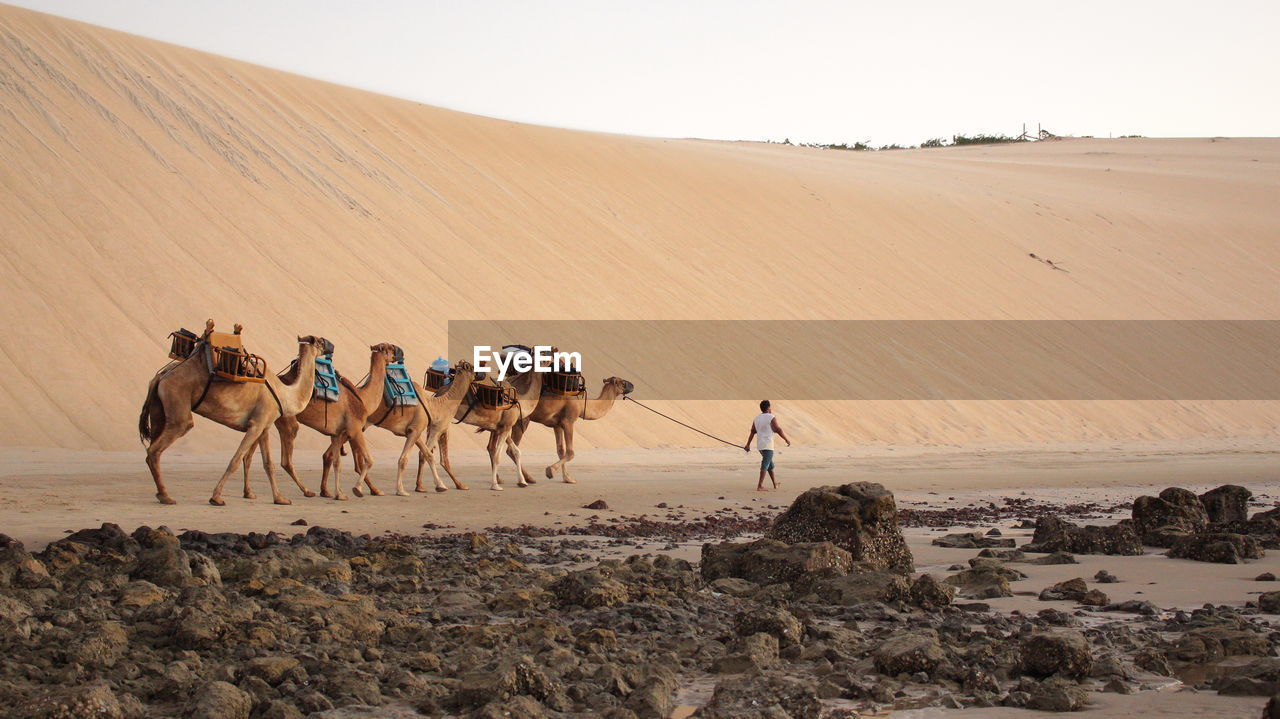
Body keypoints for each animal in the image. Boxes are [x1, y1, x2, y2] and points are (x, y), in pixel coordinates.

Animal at [139, 318, 327, 504]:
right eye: (320, 341)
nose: (329, 347)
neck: (284, 394)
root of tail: (161, 376)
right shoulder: (256, 424)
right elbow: (235, 460)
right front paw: (216, 497)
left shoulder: (264, 426)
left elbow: (268, 464)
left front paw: (280, 498)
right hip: (178, 404)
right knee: (160, 446)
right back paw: (166, 496)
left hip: (158, 410)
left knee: (153, 446)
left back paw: (162, 493)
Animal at [262, 340, 396, 498]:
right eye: (389, 347)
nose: (398, 353)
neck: (363, 398)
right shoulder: (354, 429)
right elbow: (367, 460)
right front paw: (361, 489)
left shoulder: (338, 433)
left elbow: (332, 459)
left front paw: (330, 492)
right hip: (288, 421)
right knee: (286, 460)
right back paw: (306, 491)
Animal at [363, 350, 478, 491]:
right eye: (473, 367)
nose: (480, 374)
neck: (435, 406)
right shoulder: (429, 429)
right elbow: (424, 455)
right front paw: (440, 485)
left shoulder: (414, 430)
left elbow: (425, 454)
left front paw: (421, 486)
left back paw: (372, 489)